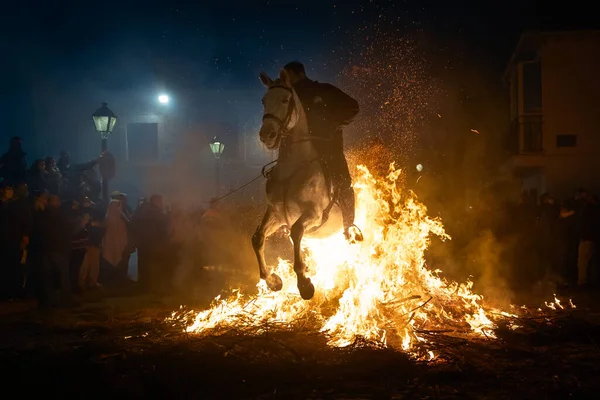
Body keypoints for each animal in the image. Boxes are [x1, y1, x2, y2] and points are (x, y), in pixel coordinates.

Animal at [253, 69, 344, 300]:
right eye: (263, 100)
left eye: (285, 100)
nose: (266, 135)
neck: (292, 170)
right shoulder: (276, 213)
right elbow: (257, 238)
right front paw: (272, 280)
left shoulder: (314, 213)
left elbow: (295, 232)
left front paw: (304, 283)